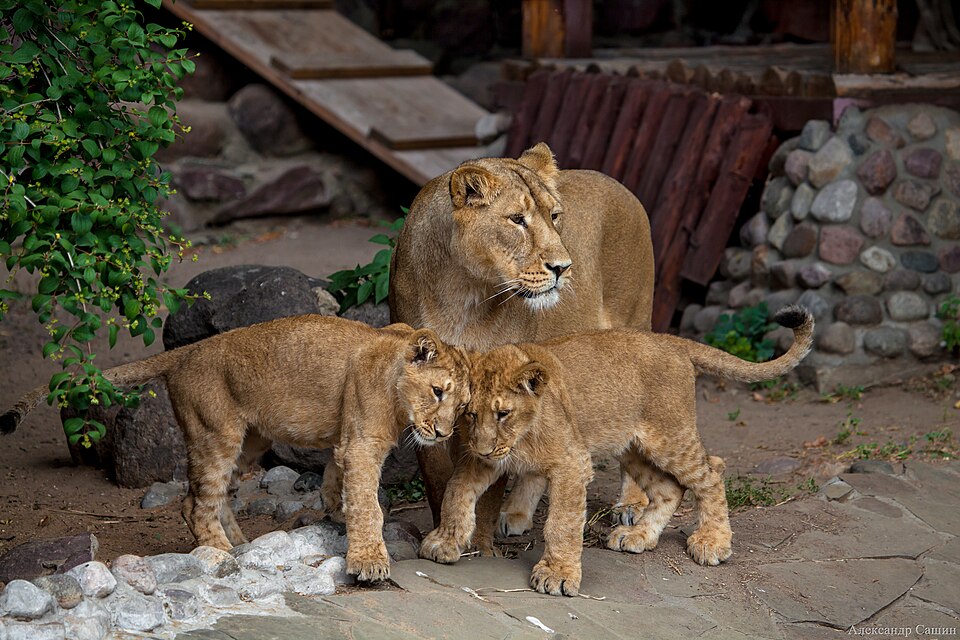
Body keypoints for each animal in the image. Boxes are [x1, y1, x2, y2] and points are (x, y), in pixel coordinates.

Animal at [2, 315, 470, 582]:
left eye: (463, 406)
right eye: (437, 392)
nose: (443, 434)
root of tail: (187, 351)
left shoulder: (346, 440)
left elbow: (338, 481)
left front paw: (334, 509)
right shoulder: (362, 445)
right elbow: (368, 505)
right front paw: (369, 561)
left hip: (251, 440)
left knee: (213, 495)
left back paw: (240, 541)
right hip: (216, 434)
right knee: (195, 502)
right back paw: (221, 552)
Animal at [389, 142, 655, 545]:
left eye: (555, 216)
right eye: (517, 219)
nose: (563, 267)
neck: (465, 292)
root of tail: (621, 185)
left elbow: (488, 480)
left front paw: (480, 546)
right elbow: (436, 474)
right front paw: (443, 532)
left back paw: (631, 507)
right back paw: (517, 514)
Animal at [419, 306, 814, 596]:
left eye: (503, 413)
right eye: (470, 413)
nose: (485, 448)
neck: (522, 435)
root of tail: (673, 342)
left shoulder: (572, 462)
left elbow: (562, 523)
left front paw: (557, 574)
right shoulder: (482, 458)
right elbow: (456, 491)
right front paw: (445, 541)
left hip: (669, 437)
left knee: (711, 472)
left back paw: (712, 542)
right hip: (632, 446)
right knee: (670, 489)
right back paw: (638, 536)